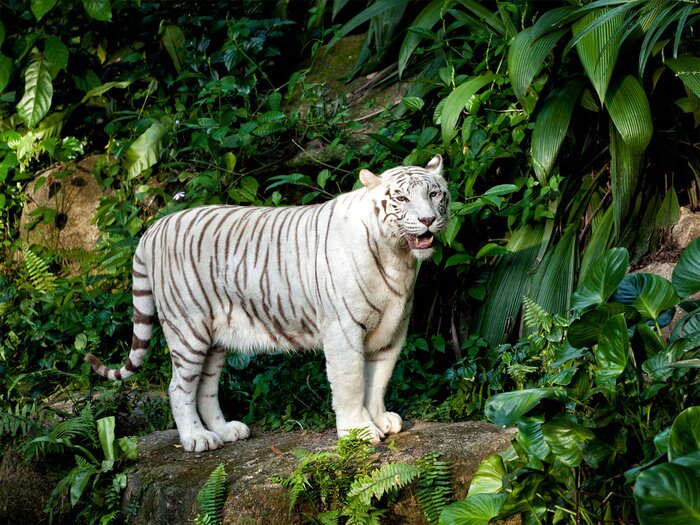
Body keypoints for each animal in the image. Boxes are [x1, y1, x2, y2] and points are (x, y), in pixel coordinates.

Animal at [86, 155, 449, 452]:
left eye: (434, 194)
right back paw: (197, 439)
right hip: (187, 329)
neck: (398, 258)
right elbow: (351, 382)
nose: (427, 220)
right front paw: (359, 432)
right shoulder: (343, 331)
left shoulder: (392, 331)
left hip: (215, 339)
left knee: (205, 387)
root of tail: (154, 227)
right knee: (178, 387)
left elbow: (378, 381)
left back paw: (225, 431)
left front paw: (380, 419)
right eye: (401, 198)